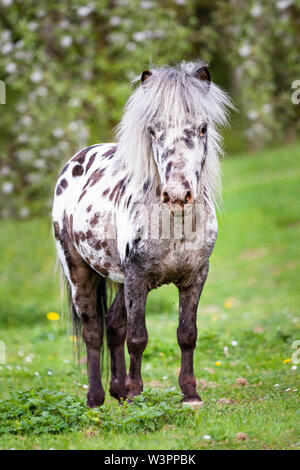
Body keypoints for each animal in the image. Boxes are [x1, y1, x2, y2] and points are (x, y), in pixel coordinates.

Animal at [52, 61, 233, 408]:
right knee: (93, 331)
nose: (177, 193)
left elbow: (187, 334)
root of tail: (76, 160)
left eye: (203, 128)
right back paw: (96, 398)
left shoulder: (195, 278)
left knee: (112, 325)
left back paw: (118, 392)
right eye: (153, 130)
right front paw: (137, 394)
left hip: (120, 280)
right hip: (80, 272)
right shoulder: (138, 279)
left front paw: (190, 394)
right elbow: (137, 338)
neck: (174, 224)